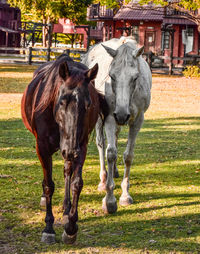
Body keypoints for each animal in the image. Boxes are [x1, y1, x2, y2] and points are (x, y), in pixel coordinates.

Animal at [20, 55, 108, 244]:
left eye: (88, 105)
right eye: (62, 102)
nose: (71, 152)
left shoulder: (81, 146)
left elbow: (76, 183)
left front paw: (71, 227)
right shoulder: (42, 148)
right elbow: (48, 185)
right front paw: (48, 228)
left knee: (68, 170)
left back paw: (67, 208)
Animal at [81, 36, 152, 213]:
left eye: (135, 77)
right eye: (111, 76)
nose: (121, 114)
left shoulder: (137, 120)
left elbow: (128, 156)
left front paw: (125, 195)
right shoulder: (109, 118)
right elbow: (110, 153)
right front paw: (109, 200)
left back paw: (114, 171)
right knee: (101, 144)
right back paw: (103, 179)